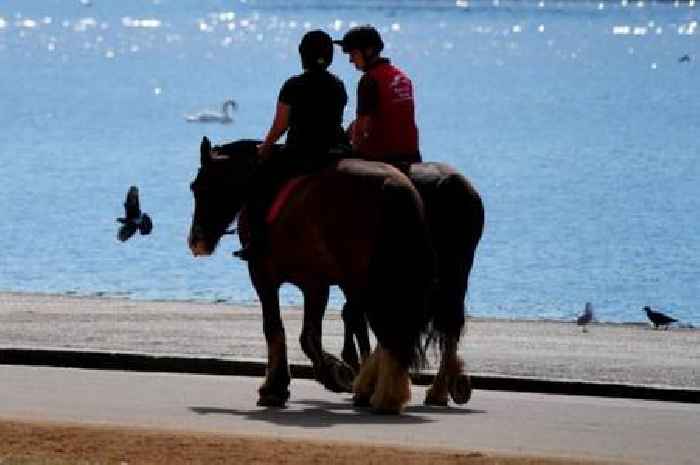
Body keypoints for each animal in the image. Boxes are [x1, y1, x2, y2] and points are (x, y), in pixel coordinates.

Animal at [189, 136, 434, 412]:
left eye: (199, 187)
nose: (196, 240)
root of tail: (393, 187)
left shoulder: (263, 274)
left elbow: (276, 328)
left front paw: (277, 387)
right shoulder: (316, 284)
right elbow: (310, 334)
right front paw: (335, 372)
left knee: (384, 328)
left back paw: (381, 393)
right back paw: (379, 390)